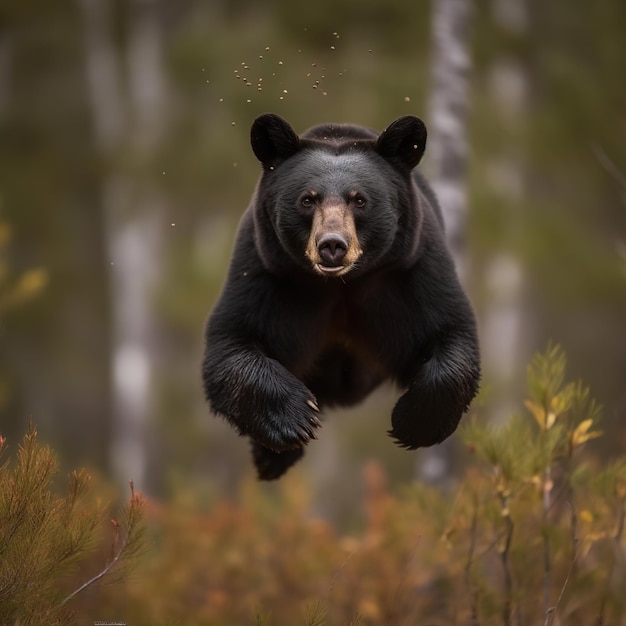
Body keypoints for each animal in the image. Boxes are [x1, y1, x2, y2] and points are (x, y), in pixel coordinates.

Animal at [201, 112, 478, 478]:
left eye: (359, 199)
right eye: (308, 199)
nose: (332, 245)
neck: (340, 283)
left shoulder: (412, 270)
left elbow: (449, 332)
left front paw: (413, 423)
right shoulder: (265, 270)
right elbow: (233, 342)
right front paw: (295, 419)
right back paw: (272, 458)